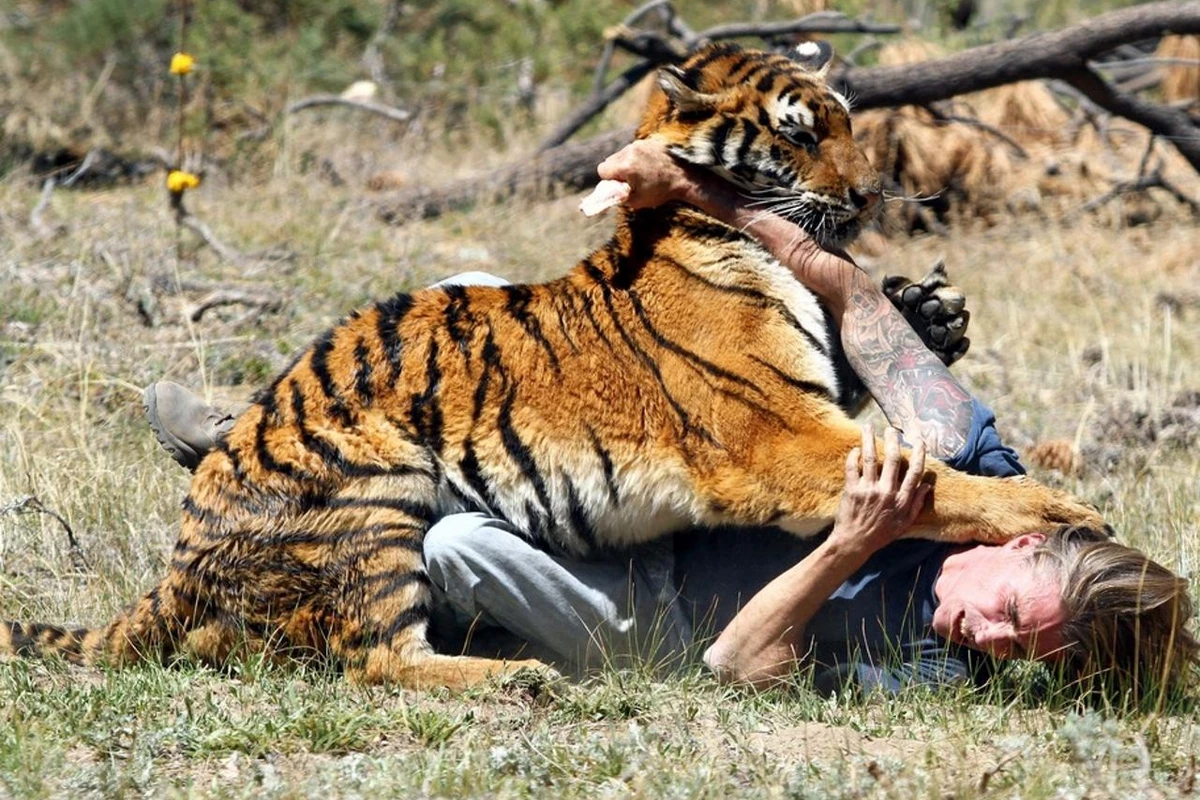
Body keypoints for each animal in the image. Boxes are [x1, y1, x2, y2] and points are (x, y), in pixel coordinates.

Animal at [0, 40, 1104, 690]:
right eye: (801, 131)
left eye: (846, 120)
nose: (872, 192)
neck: (699, 229)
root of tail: (175, 561)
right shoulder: (782, 443)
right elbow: (953, 488)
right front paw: (1064, 509)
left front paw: (931, 310)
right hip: (377, 503)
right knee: (375, 661)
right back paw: (513, 682)